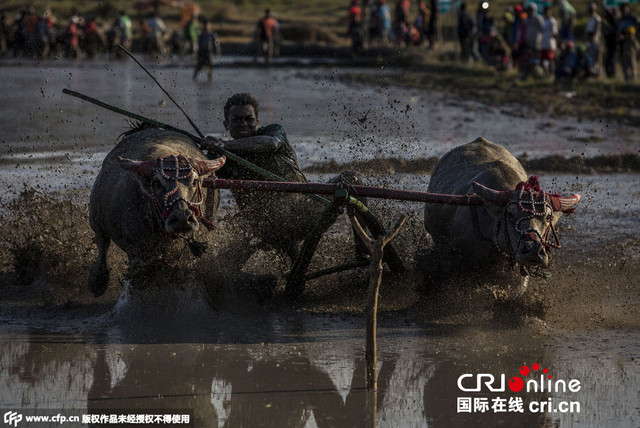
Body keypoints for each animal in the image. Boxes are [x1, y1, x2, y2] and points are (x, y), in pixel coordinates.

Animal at [88, 128, 225, 298]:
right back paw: (98, 281)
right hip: (96, 220)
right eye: (158, 183)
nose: (182, 219)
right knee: (102, 244)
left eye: (194, 181)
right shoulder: (137, 251)